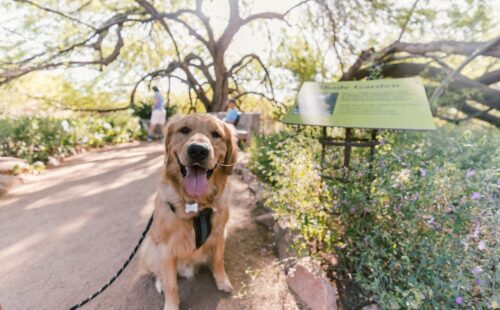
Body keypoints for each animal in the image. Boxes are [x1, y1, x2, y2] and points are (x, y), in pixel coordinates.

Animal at [138, 114, 237, 310]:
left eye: (216, 134)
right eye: (184, 130)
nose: (198, 151)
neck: (197, 205)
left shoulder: (220, 234)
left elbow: (219, 261)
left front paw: (222, 280)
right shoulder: (166, 249)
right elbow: (171, 284)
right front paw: (171, 305)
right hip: (148, 247)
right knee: (159, 273)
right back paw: (160, 282)